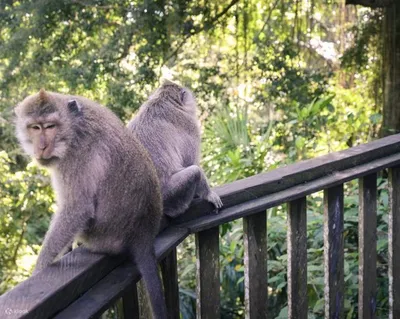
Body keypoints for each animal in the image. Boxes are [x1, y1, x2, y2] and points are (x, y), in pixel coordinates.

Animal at [14, 90, 167, 319]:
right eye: (35, 127)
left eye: (50, 126)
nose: (41, 146)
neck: (73, 126)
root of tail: (144, 233)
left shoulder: (74, 157)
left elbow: (77, 208)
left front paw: (38, 270)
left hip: (100, 237)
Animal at [127, 81, 223, 219]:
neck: (163, 100)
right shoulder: (190, 126)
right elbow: (191, 163)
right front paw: (208, 194)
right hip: (170, 195)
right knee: (195, 171)